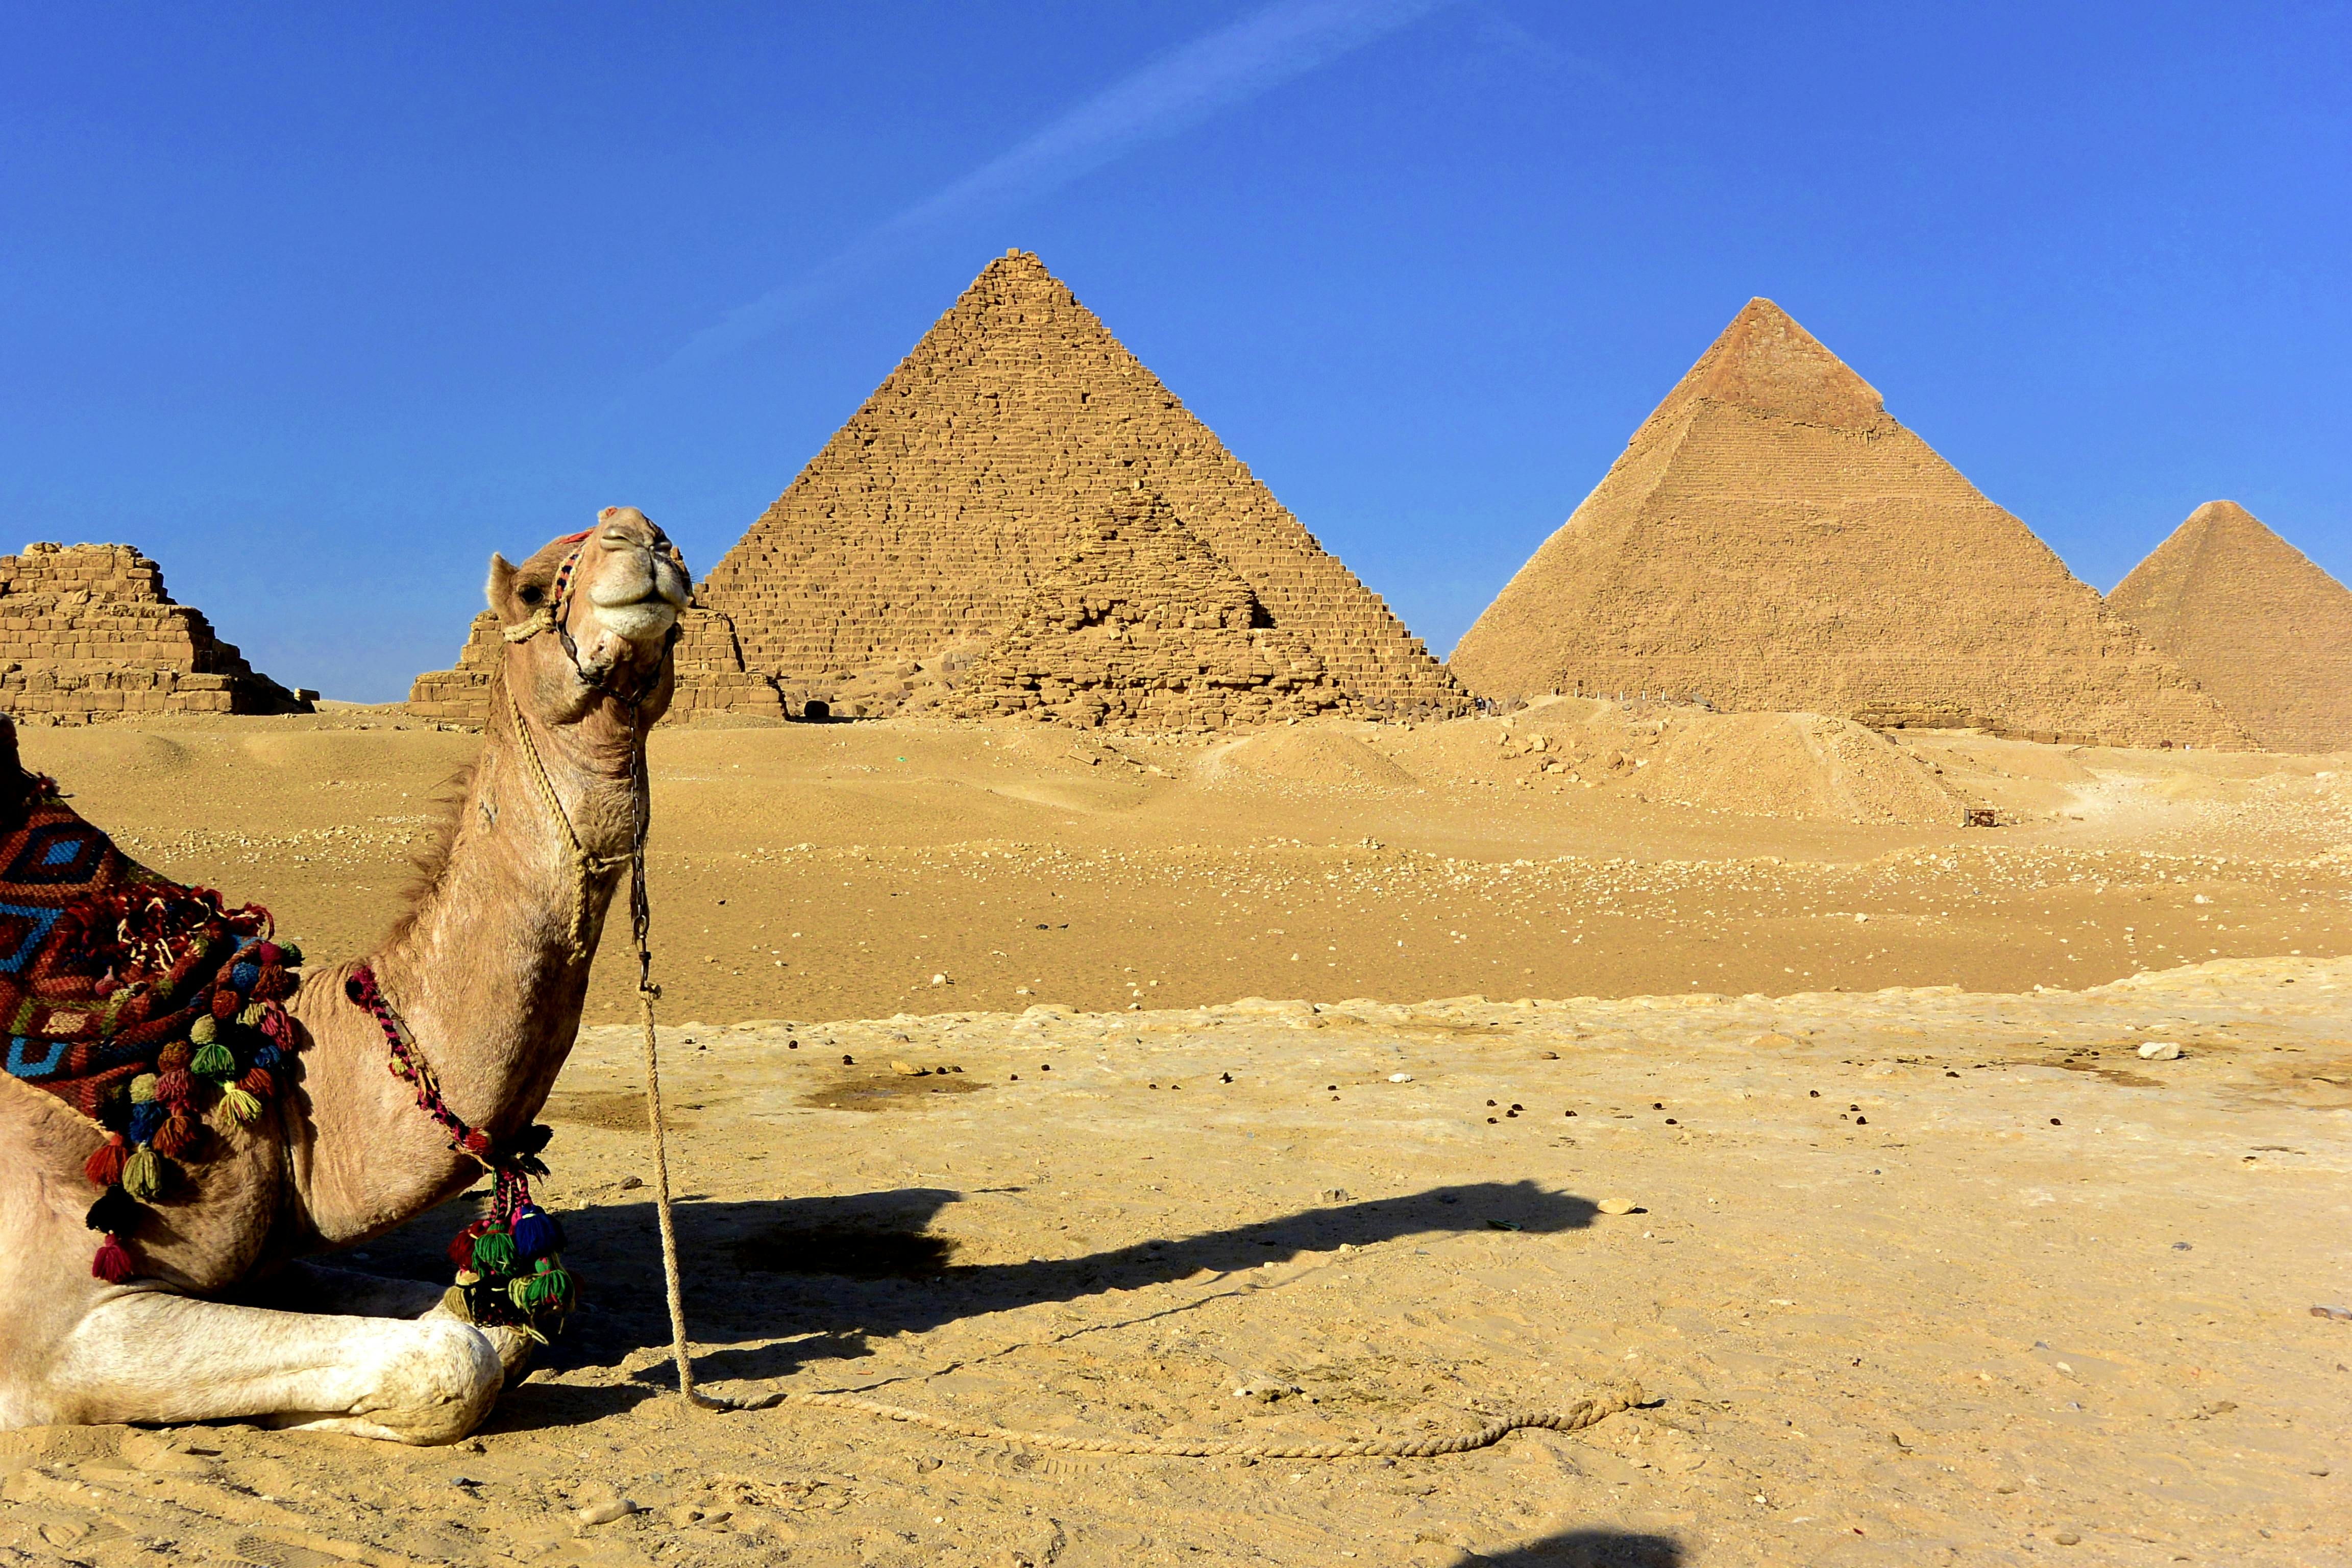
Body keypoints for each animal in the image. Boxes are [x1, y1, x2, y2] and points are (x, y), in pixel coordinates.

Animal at [0, 510, 691, 1438]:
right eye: (532, 589)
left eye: (676, 557)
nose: (640, 536)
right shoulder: (55, 1326)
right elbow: (453, 1359)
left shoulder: (262, 1260)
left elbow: (497, 1325)